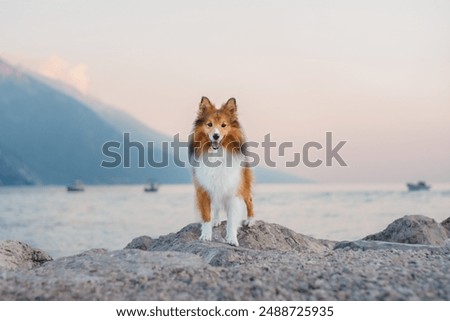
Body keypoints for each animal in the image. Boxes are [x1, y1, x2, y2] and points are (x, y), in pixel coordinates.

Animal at [188, 95, 255, 245]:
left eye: (223, 125)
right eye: (209, 124)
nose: (216, 136)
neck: (216, 154)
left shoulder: (233, 191)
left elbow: (232, 220)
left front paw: (232, 239)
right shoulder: (204, 188)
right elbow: (206, 215)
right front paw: (206, 235)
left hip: (244, 184)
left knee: (249, 200)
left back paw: (250, 220)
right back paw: (216, 220)